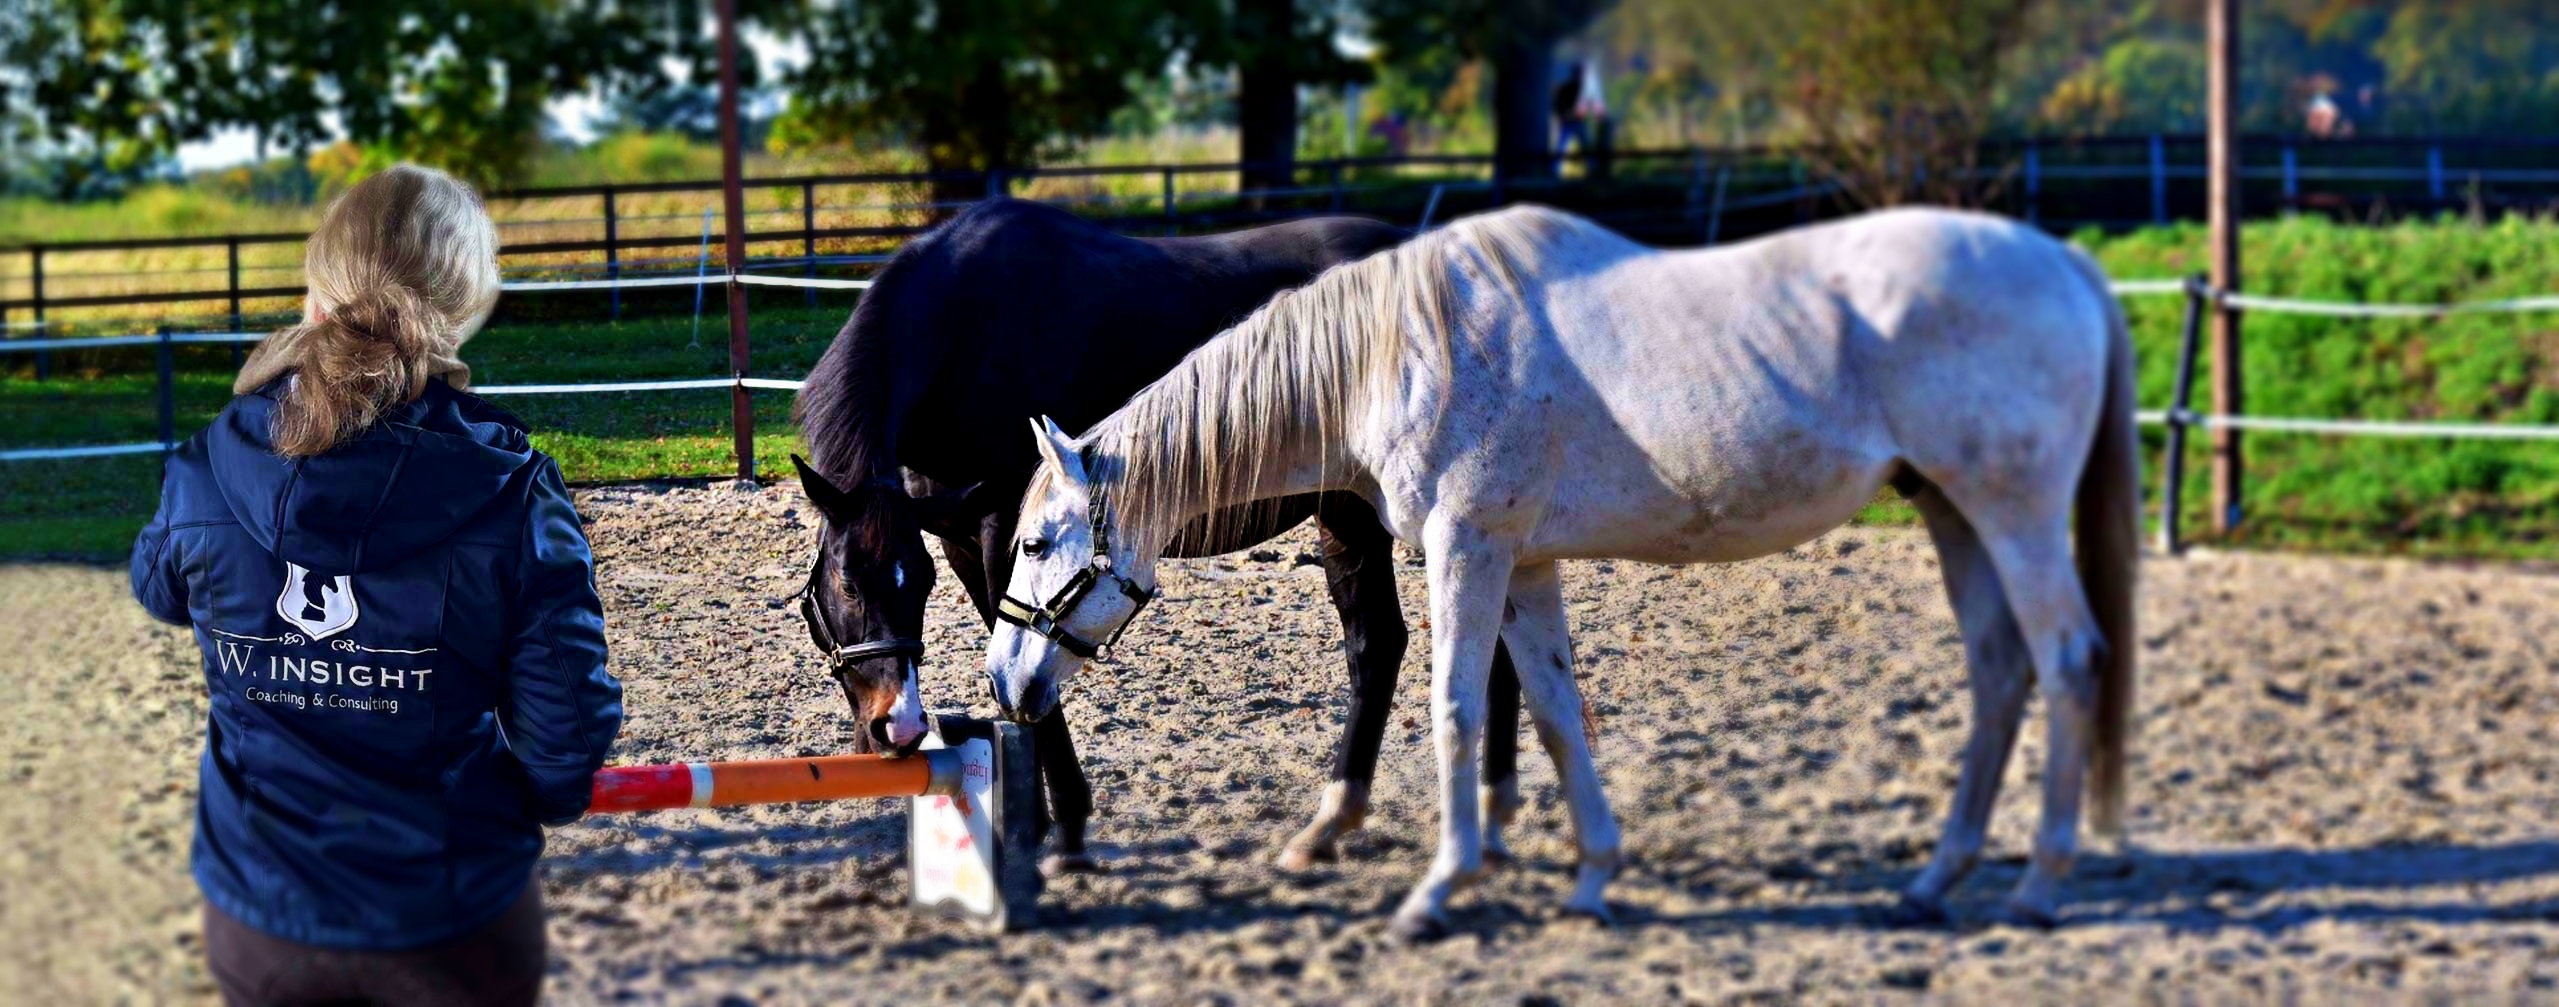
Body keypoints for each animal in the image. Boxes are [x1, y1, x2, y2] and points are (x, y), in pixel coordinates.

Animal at [788, 197, 1526, 876]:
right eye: (849, 583)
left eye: (885, 583)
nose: (898, 727)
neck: (961, 332)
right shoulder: (961, 541)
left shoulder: (1009, 533)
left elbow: (1033, 689)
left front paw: (1066, 831)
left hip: (1370, 511)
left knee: (1393, 644)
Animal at [982, 204, 2141, 938]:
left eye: (1036, 544)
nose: (1004, 682)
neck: (1403, 349)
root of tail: (2067, 266)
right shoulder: (1527, 560)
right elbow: (1551, 711)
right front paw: (1591, 877)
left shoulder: (1469, 545)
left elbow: (1455, 707)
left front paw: (1437, 890)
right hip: (1954, 510)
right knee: (1999, 673)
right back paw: (1936, 879)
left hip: (2014, 512)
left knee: (2068, 661)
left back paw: (2038, 885)